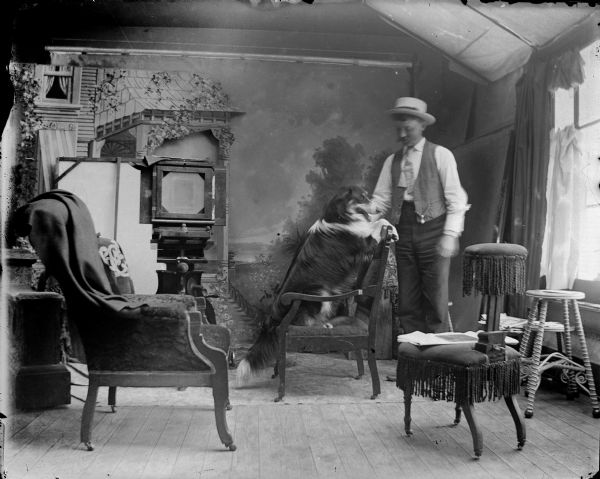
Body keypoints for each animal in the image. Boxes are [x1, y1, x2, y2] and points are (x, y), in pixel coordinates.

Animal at [236, 186, 398, 384]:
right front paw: (389, 228)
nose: (378, 208)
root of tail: (272, 317)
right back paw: (323, 326)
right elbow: (376, 224)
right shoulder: (363, 244)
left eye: (367, 196)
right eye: (362, 198)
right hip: (320, 292)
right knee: (304, 321)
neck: (342, 216)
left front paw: (393, 230)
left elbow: (379, 222)